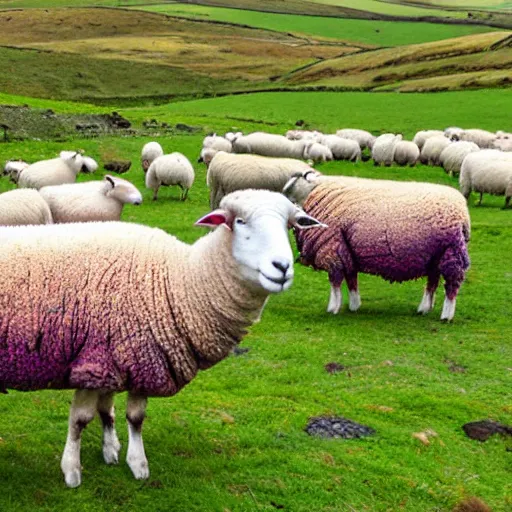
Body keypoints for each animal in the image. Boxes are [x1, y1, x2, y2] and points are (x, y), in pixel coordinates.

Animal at [0, 189, 324, 488]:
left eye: (289, 225)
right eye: (240, 221)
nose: (282, 267)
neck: (179, 279)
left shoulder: (127, 358)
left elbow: (123, 413)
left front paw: (122, 455)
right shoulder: (101, 362)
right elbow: (81, 420)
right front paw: (73, 471)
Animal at [282, 174, 470, 322]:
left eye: (288, 194)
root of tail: (463, 213)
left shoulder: (333, 249)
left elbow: (335, 282)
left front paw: (332, 308)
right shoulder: (347, 250)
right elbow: (351, 280)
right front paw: (354, 305)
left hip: (451, 252)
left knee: (452, 285)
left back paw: (446, 316)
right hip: (437, 255)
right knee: (432, 282)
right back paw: (424, 309)